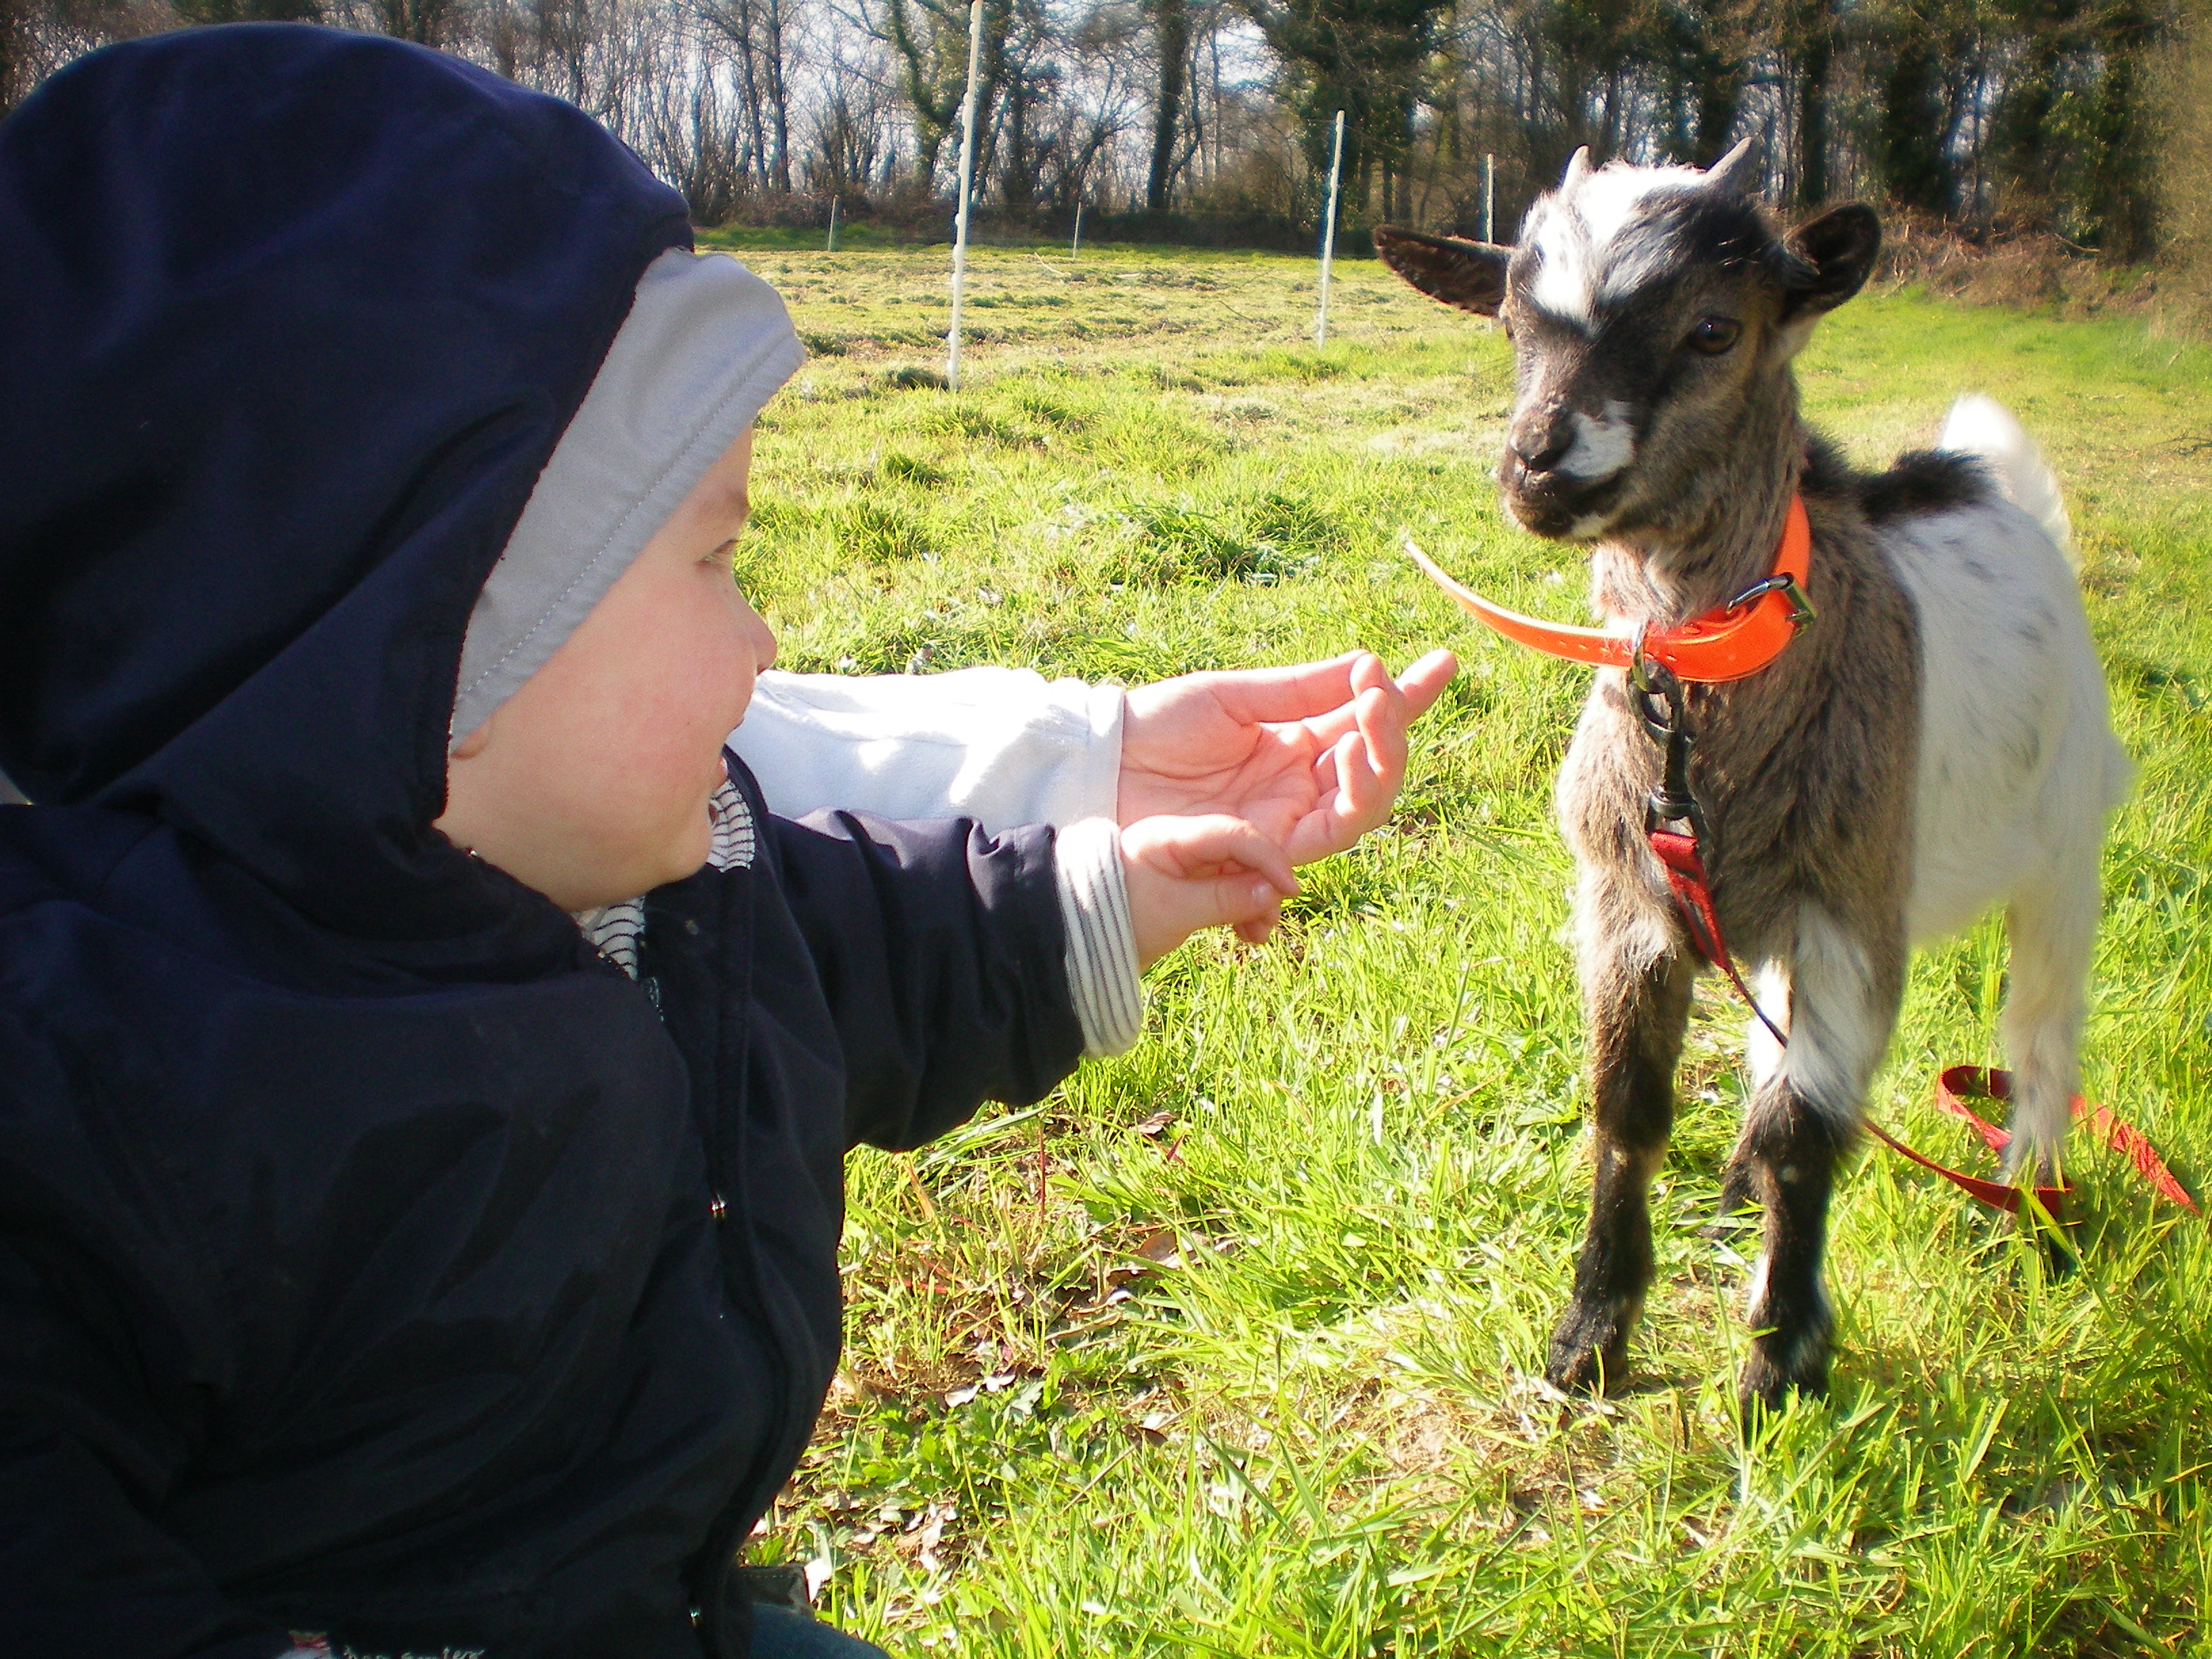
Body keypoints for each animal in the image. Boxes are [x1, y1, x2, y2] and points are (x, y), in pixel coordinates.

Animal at [1375, 142, 2131, 1411]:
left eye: (1714, 330)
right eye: (1513, 323)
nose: (1538, 463)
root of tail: (1984, 482)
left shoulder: (1849, 914)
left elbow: (1806, 1133)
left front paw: (1779, 1360)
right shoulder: (1628, 901)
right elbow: (1627, 1109)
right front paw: (1590, 1334)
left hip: (2063, 851)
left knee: (2037, 1036)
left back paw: (2027, 1207)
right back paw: (1736, 1192)